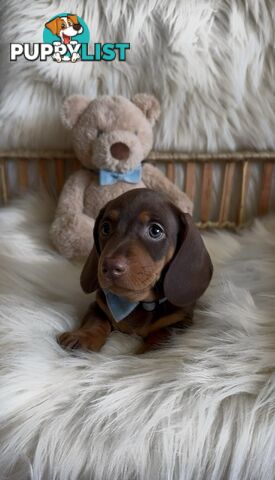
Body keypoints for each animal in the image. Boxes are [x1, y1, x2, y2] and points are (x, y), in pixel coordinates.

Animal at [58, 188, 213, 352]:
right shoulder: (98, 306)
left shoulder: (179, 322)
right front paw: (83, 337)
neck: (139, 303)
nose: (110, 267)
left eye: (155, 230)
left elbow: (160, 337)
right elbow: (96, 321)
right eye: (105, 228)